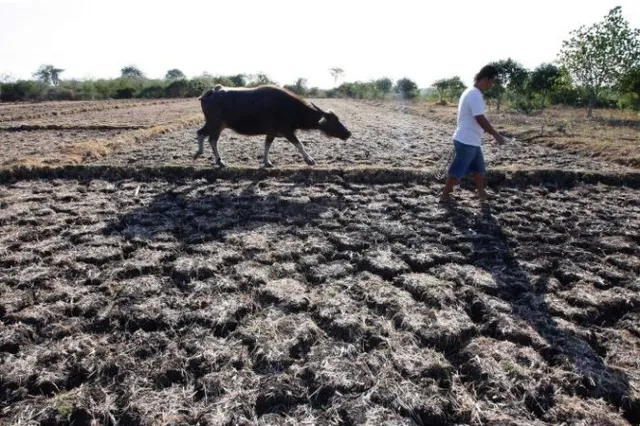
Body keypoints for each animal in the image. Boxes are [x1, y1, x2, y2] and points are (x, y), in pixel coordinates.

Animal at [196, 84, 352, 167]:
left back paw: (199, 153)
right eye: (333, 121)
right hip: (215, 124)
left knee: (201, 133)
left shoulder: (271, 133)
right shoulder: (287, 131)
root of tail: (210, 92)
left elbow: (267, 146)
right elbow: (299, 144)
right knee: (211, 139)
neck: (290, 108)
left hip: (214, 124)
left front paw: (267, 162)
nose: (348, 133)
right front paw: (309, 160)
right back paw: (219, 161)